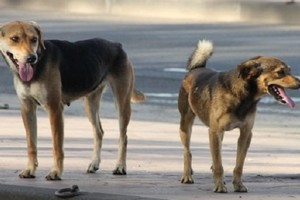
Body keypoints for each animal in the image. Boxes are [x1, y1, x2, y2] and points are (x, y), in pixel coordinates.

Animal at [0, 21, 145, 180]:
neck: (39, 62)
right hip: (90, 104)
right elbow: (31, 145)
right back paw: (94, 164)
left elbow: (57, 146)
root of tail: (117, 45)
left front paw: (55, 172)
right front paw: (30, 169)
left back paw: (120, 167)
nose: (31, 58)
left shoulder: (54, 108)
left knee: (123, 137)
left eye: (34, 39)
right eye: (15, 38)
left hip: (122, 102)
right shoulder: (27, 108)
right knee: (99, 132)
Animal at [178, 39, 300, 192]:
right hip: (186, 124)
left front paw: (238, 185)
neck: (243, 96)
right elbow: (218, 164)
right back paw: (187, 175)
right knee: (187, 151)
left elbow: (239, 165)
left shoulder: (246, 133)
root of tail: (196, 68)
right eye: (280, 72)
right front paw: (219, 186)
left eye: (289, 70)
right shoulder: (215, 131)